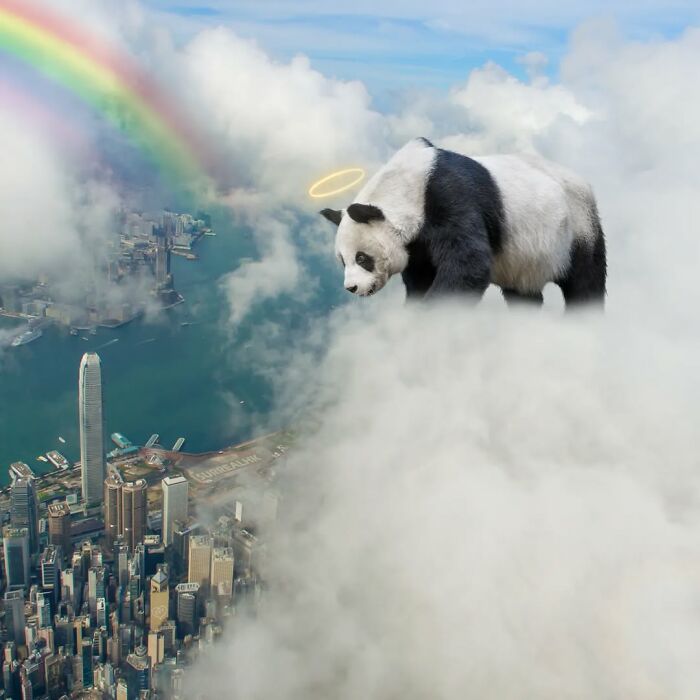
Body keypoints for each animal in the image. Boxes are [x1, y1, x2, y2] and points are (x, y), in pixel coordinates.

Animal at [320, 137, 606, 307]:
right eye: (342, 261)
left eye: (362, 258)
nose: (352, 287)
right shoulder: (417, 244)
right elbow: (420, 275)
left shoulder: (451, 198)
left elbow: (468, 264)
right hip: (525, 258)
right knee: (522, 292)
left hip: (577, 227)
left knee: (585, 281)